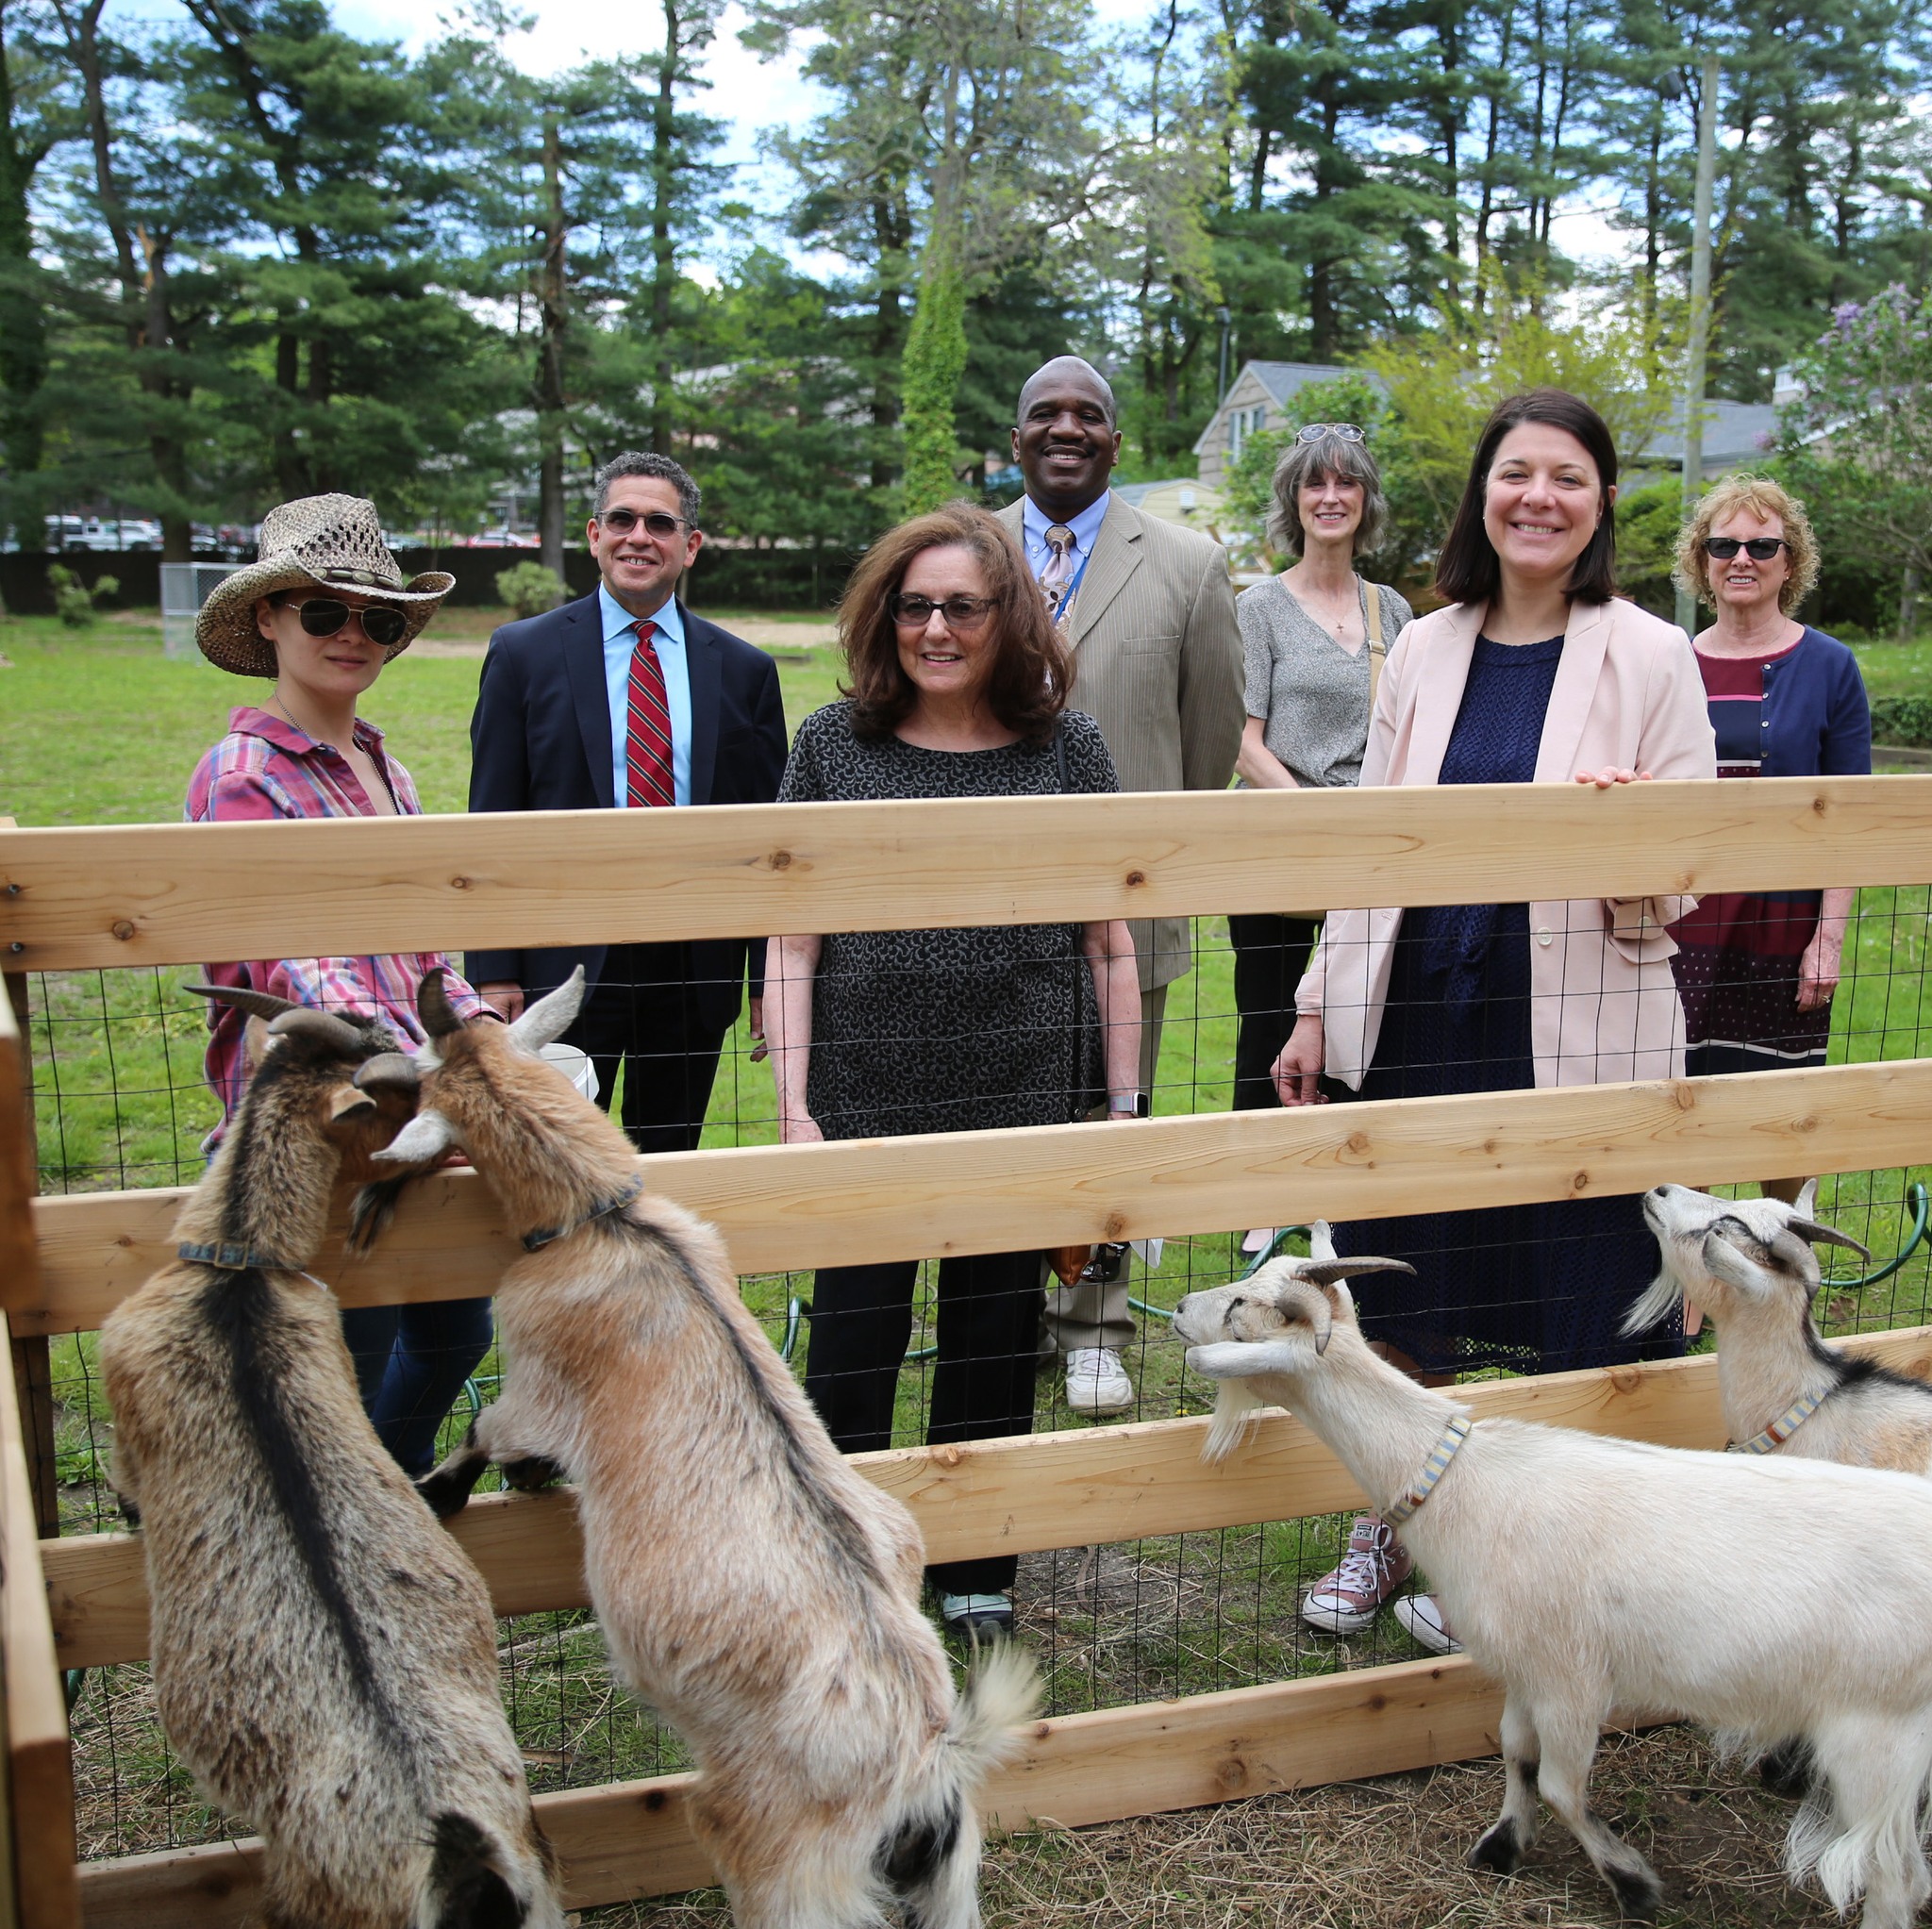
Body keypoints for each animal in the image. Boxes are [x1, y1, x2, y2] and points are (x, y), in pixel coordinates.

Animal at [355, 973, 1035, 1929]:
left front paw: (452, 1488)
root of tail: (926, 1764)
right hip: (949, 1881)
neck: (604, 1218)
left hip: (784, 1861)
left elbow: (489, 1433)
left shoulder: (536, 1380)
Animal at [1166, 1258, 1932, 1922]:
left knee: (1893, 1874)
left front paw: (1632, 1882)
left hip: (1877, 1732)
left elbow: (1564, 1785)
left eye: (1240, 1307)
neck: (1463, 1478)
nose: (1177, 1307)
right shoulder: (1523, 1662)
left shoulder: (1571, 1674)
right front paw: (1503, 1843)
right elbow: (1515, 1750)